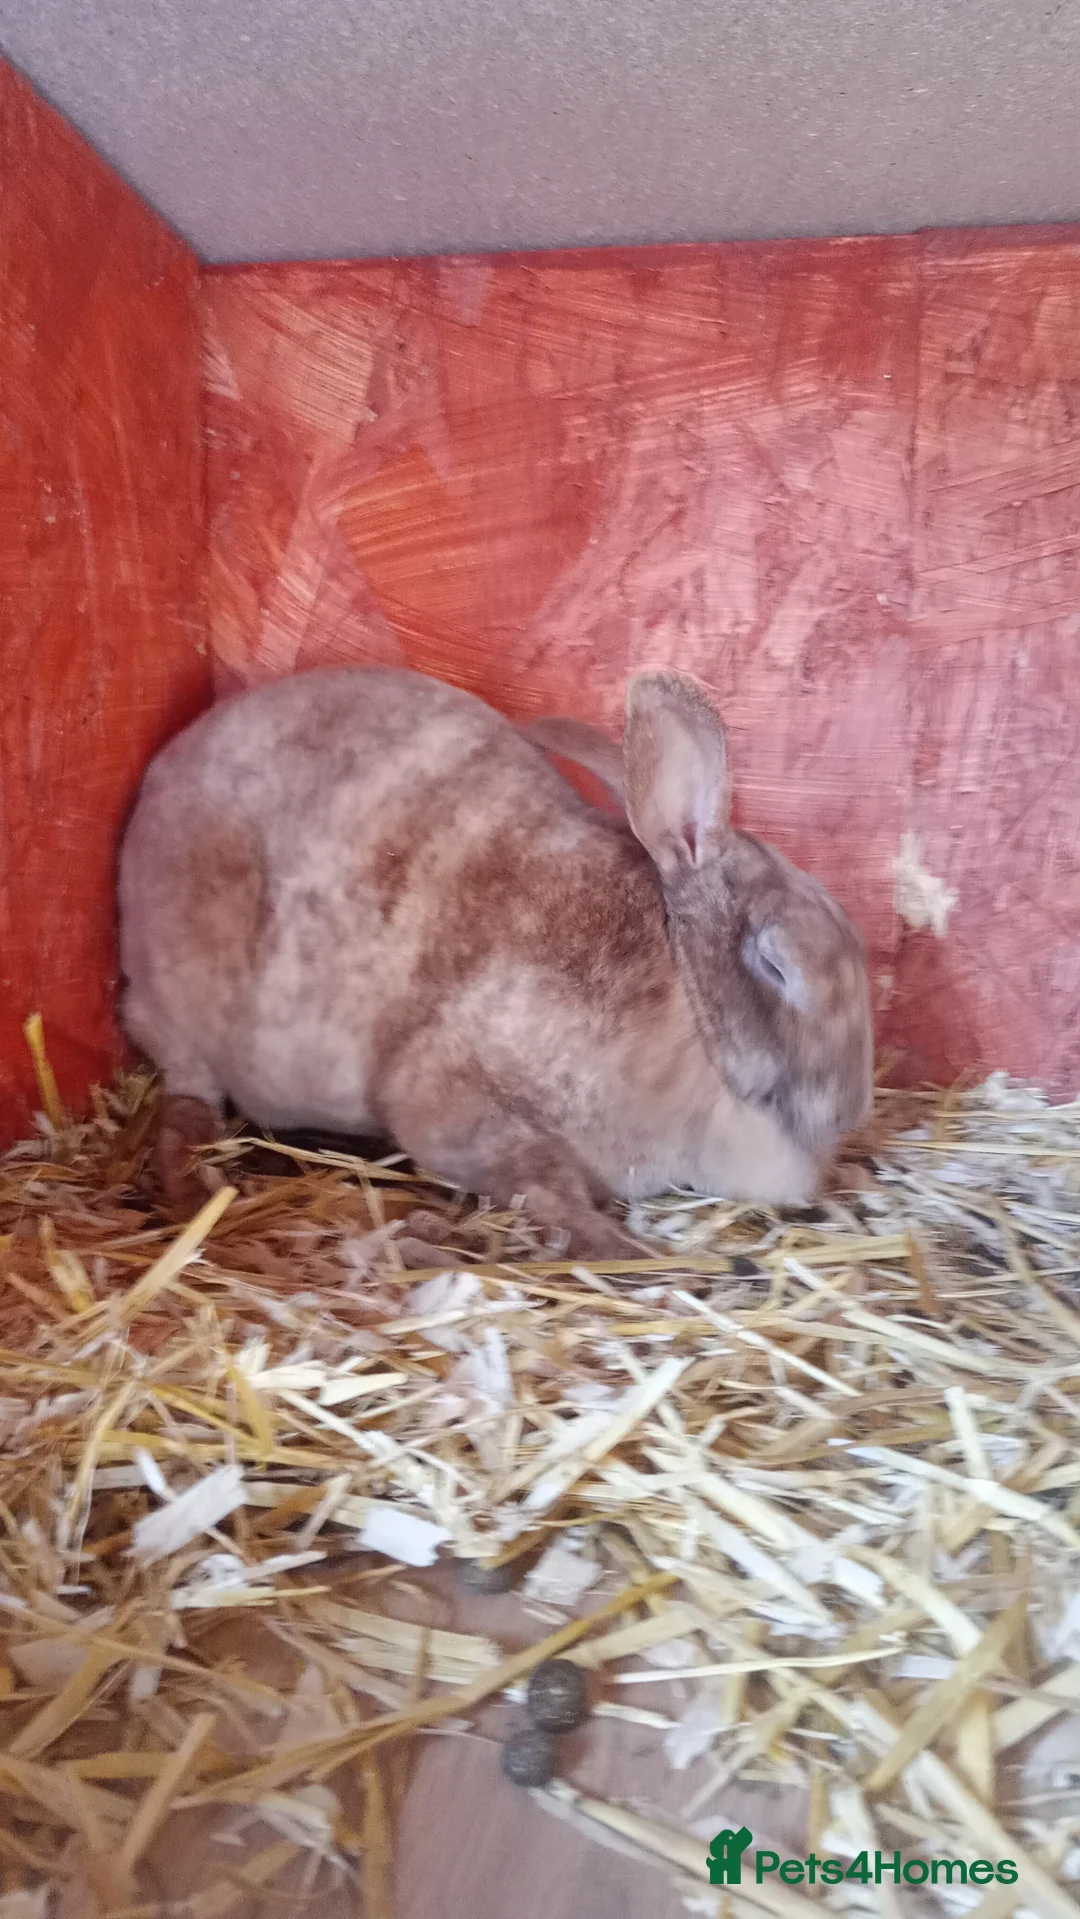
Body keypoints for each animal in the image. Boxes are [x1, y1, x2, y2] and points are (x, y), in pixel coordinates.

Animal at [116, 664, 873, 1257]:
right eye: (778, 966)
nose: (851, 1112)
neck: (687, 1006)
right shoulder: (456, 1097)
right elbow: (541, 1178)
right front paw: (617, 1245)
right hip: (191, 1008)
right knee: (186, 1098)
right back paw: (191, 1190)